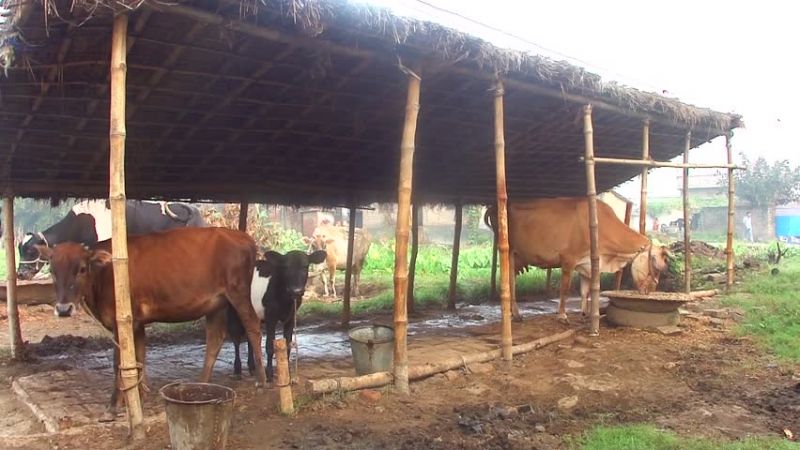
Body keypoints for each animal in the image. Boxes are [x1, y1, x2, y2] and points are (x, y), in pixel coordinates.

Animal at [36, 227, 266, 422]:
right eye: (53, 271)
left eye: (82, 269)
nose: (63, 309)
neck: (106, 275)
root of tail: (245, 238)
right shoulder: (137, 324)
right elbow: (138, 357)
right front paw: (138, 397)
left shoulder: (123, 322)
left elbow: (119, 363)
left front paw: (113, 407)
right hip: (216, 304)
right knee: (215, 339)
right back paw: (201, 383)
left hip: (238, 292)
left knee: (253, 327)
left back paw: (261, 379)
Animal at [227, 249, 326, 381]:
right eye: (286, 267)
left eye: (306, 266)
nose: (296, 290)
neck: (286, 299)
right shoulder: (271, 317)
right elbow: (269, 346)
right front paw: (269, 374)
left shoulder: (291, 317)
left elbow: (288, 345)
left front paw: (288, 373)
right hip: (232, 309)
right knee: (236, 338)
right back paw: (237, 370)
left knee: (250, 335)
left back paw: (252, 368)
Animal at [486, 197, 671, 323]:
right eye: (656, 267)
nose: (650, 291)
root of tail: (495, 205)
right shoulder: (568, 259)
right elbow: (565, 289)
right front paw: (562, 315)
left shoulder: (587, 265)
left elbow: (585, 292)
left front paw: (586, 313)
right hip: (508, 251)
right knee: (509, 282)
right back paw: (515, 314)